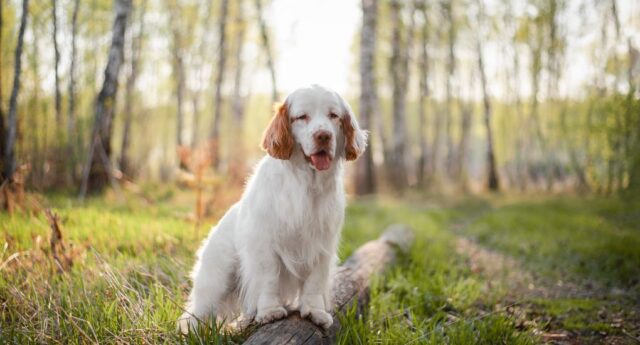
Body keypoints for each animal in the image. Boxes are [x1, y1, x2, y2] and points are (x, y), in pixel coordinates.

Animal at [178, 84, 368, 334]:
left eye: (333, 116)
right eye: (302, 117)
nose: (323, 136)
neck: (306, 185)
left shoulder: (322, 246)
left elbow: (314, 283)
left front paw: (314, 312)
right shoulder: (264, 243)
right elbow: (268, 279)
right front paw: (270, 312)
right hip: (216, 279)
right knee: (195, 312)